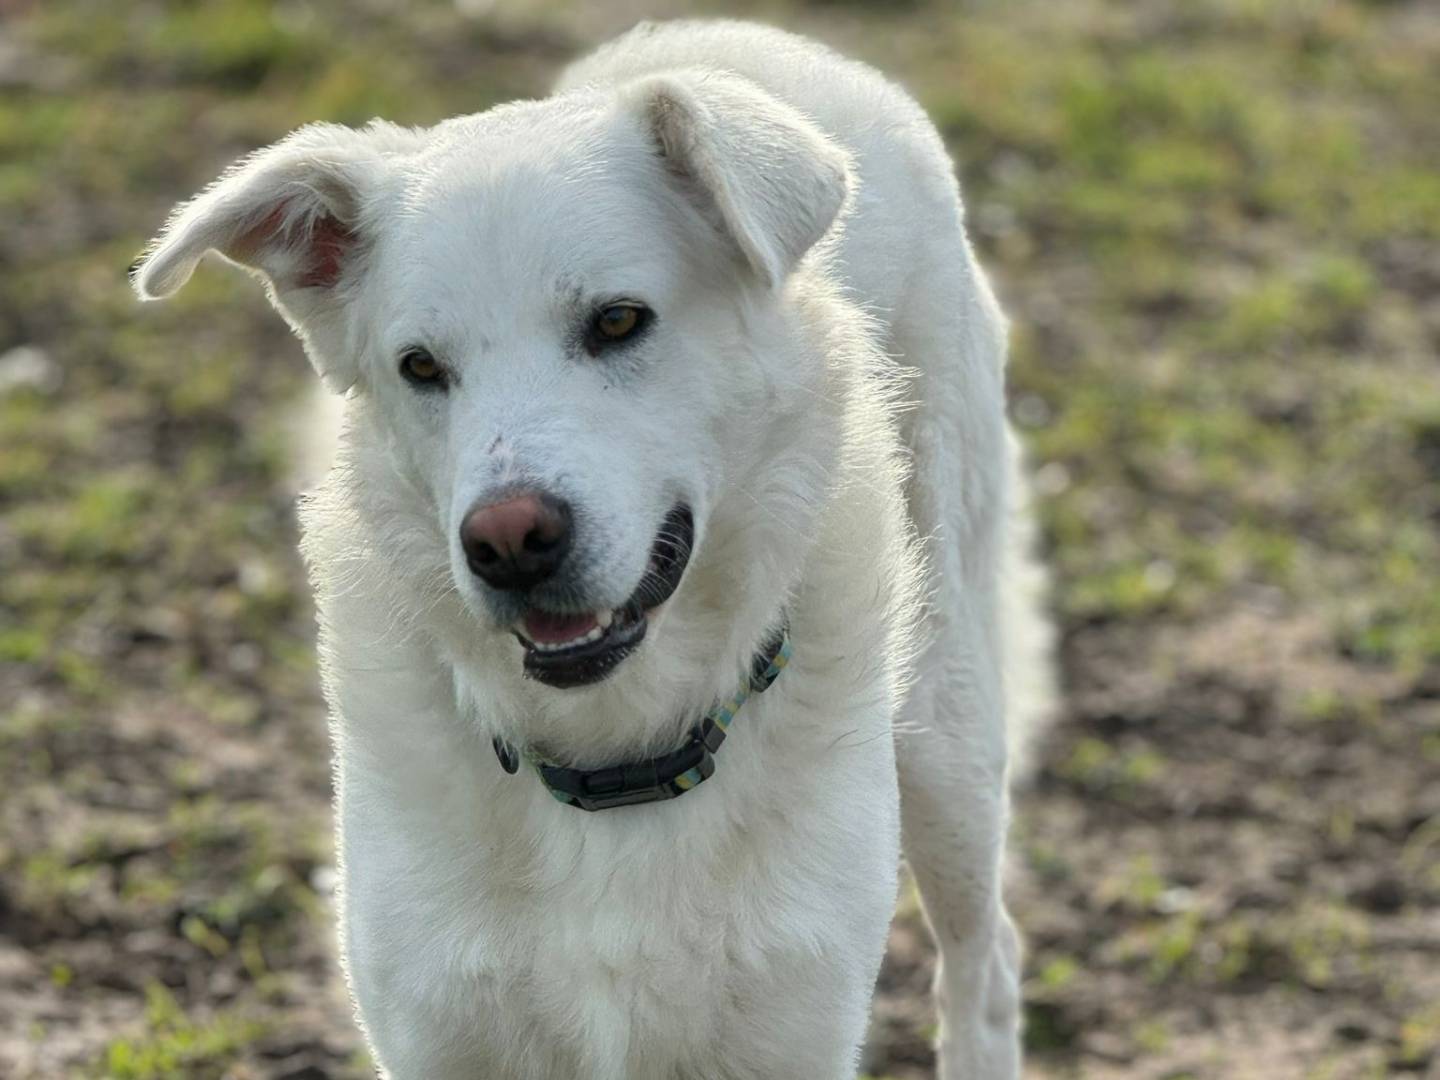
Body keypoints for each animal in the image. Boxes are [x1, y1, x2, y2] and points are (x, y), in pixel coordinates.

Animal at [135, 19, 1059, 1080]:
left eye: (618, 321)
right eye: (421, 367)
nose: (507, 543)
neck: (617, 761)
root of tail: (744, 36)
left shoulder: (789, 1028)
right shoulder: (437, 1029)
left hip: (947, 730)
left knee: (986, 961)